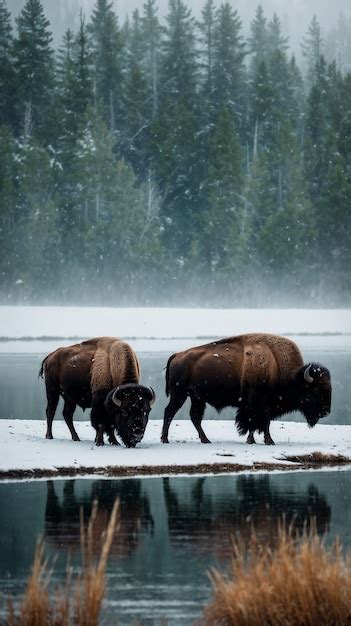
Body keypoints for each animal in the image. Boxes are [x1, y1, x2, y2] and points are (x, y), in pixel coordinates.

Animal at [162, 332, 332, 444]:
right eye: (316, 389)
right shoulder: (256, 401)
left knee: (195, 417)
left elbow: (260, 422)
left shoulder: (259, 405)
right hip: (179, 394)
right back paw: (165, 439)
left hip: (196, 398)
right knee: (169, 412)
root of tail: (177, 355)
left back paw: (206, 440)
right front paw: (263, 441)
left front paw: (260, 440)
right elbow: (258, 421)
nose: (326, 412)